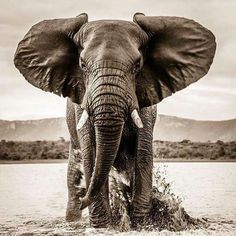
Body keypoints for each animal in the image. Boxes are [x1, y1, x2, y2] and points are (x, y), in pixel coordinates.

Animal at [13, 12, 216, 228]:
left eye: (137, 65)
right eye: (82, 65)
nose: (84, 201)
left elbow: (142, 153)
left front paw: (142, 225)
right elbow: (92, 153)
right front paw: (104, 226)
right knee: (74, 177)